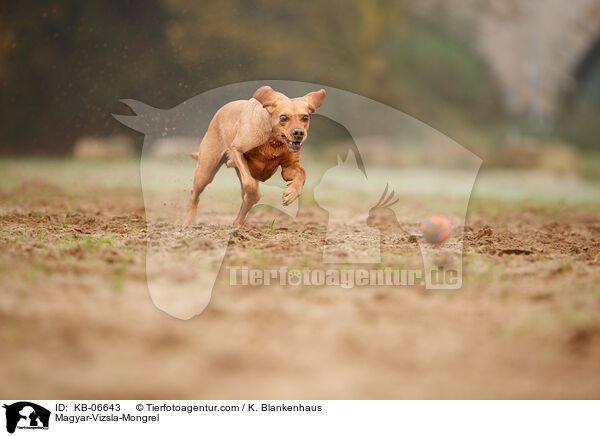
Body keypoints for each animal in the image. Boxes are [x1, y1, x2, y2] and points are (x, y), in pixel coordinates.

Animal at [183, 86, 326, 228]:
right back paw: (189, 222)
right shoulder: (237, 150)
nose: (299, 133)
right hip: (206, 170)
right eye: (283, 117)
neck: (273, 141)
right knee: (195, 193)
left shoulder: (288, 167)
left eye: (305, 117)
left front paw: (291, 193)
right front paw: (256, 195)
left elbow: (302, 173)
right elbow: (250, 186)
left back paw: (238, 223)